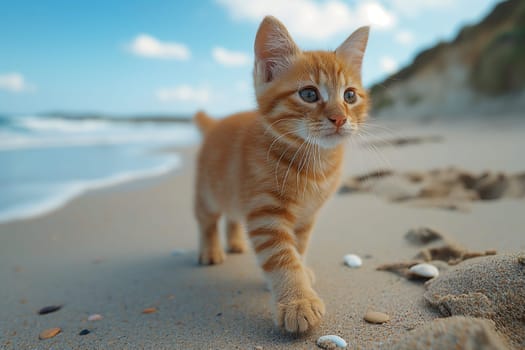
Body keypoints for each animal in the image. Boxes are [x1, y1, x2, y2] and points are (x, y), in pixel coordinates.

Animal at [192, 17, 368, 334]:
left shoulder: (306, 216)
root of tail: (216, 124)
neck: (315, 164)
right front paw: (298, 301)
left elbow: (298, 248)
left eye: (349, 95)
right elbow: (283, 257)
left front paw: (299, 279)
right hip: (208, 192)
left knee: (233, 216)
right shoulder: (267, 215)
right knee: (207, 220)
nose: (339, 118)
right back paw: (210, 250)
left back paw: (235, 242)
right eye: (309, 94)